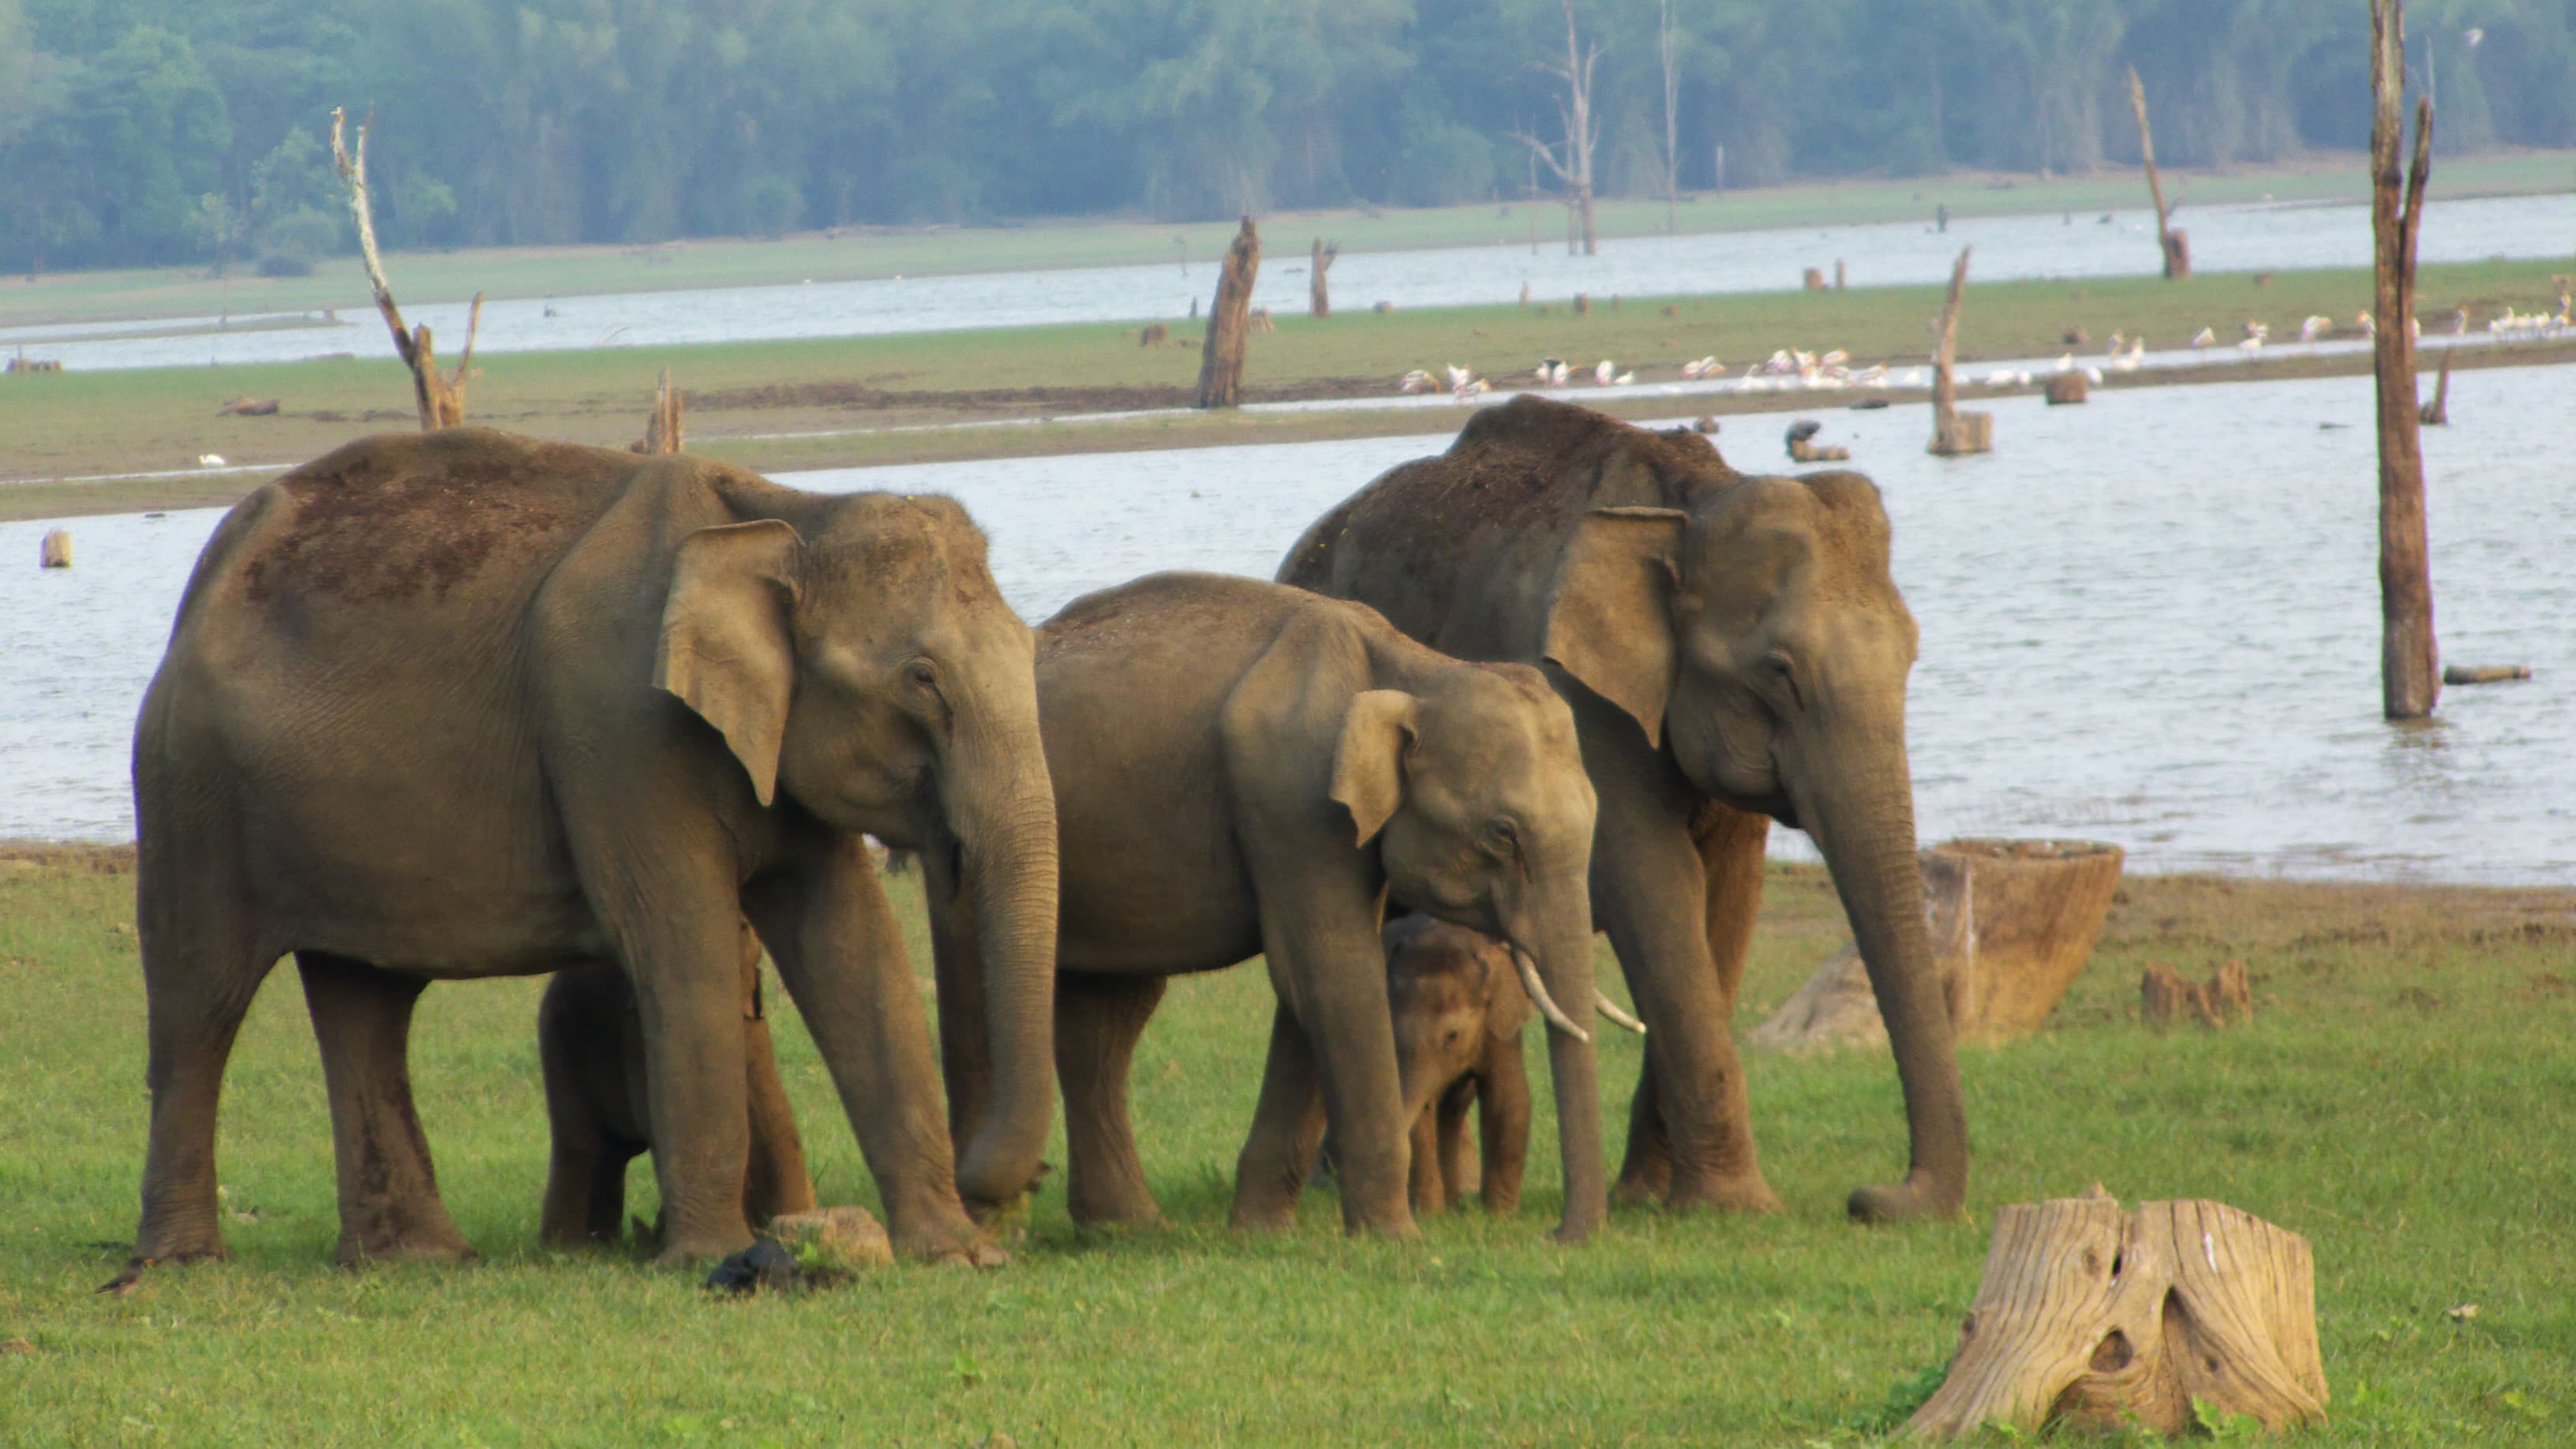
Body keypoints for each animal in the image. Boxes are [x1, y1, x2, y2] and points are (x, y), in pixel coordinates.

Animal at [535, 923, 817, 1246]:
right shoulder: (638, 1039)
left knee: (611, 1152)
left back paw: (605, 1244)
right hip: (557, 1038)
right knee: (580, 1145)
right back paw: (571, 1248)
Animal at [1280, 395, 1969, 1222]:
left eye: (1912, 654)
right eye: (1779, 671)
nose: (1871, 1199)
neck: (1691, 502)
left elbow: (1726, 899)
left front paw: (1653, 1197)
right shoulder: (1575, 694)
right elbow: (1654, 885)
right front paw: (1735, 1208)